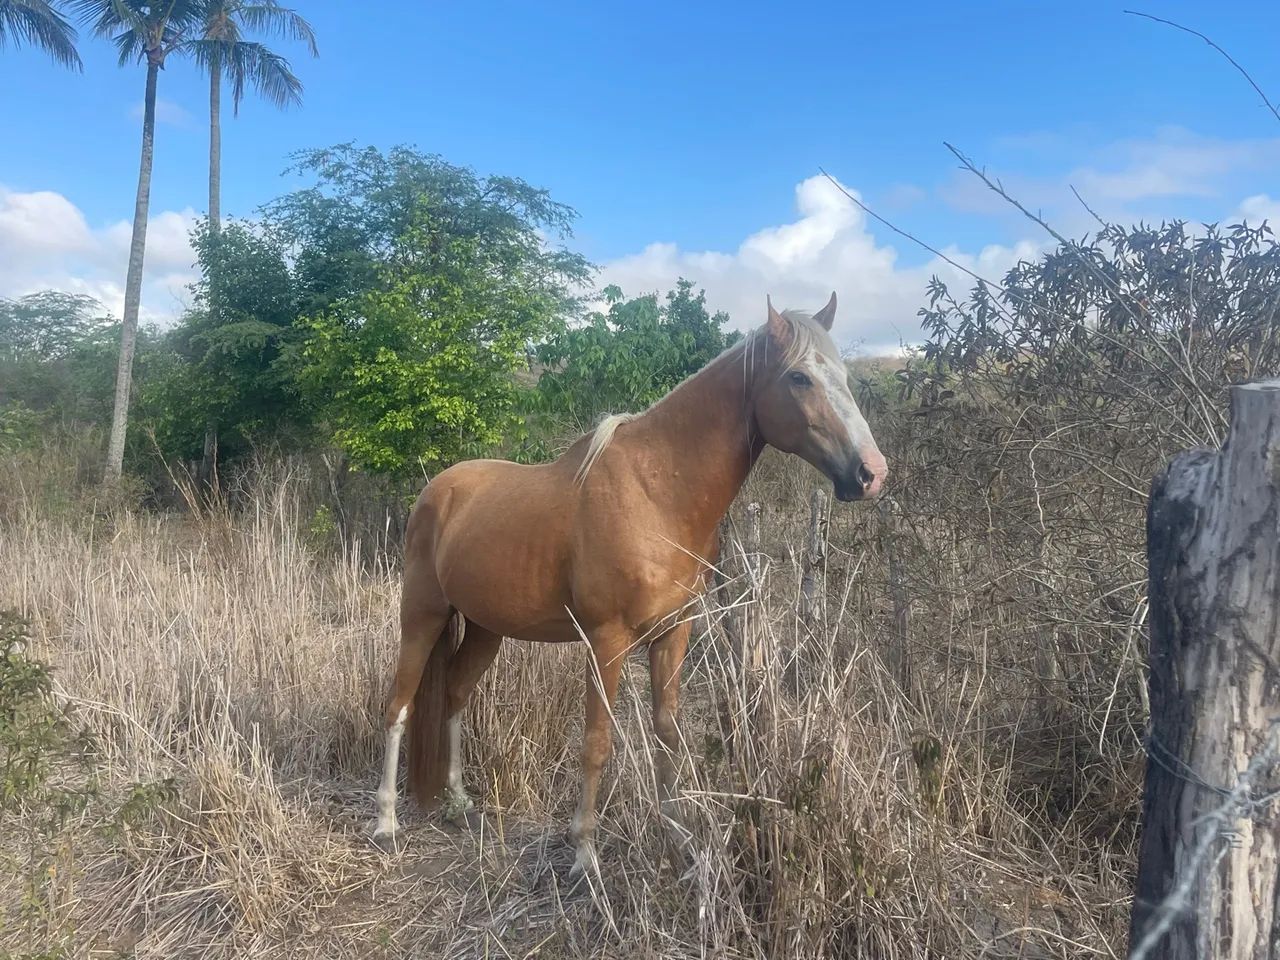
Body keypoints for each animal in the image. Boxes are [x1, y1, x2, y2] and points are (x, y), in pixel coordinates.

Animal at [371, 293, 887, 874]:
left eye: (843, 375)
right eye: (800, 378)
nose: (872, 473)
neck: (655, 493)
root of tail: (437, 490)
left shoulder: (674, 631)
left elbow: (668, 731)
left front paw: (678, 832)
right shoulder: (607, 640)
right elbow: (596, 742)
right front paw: (584, 853)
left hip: (486, 627)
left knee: (455, 695)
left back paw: (459, 802)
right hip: (422, 616)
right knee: (398, 706)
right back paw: (385, 821)